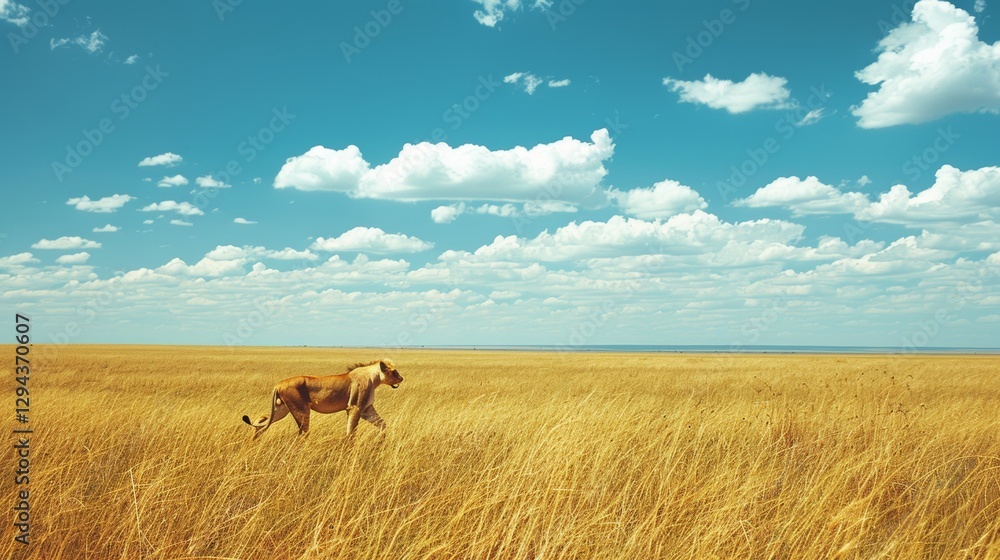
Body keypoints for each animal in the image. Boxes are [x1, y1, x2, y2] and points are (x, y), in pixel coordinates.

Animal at [242, 359, 403, 438]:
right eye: (395, 372)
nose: (401, 378)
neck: (375, 378)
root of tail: (278, 384)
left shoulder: (366, 409)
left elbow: (383, 424)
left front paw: (380, 440)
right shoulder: (355, 407)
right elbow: (351, 432)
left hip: (282, 409)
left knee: (261, 423)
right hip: (301, 410)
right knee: (302, 433)